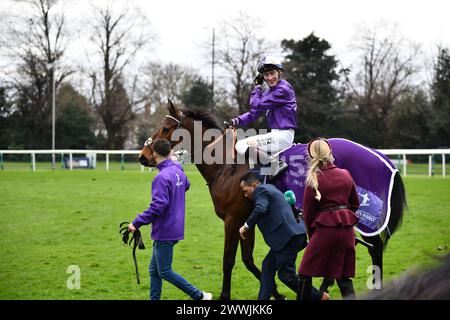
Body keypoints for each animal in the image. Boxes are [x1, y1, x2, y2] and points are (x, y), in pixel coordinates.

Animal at [139, 100, 406, 300]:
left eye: (165, 128)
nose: (143, 157)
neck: (227, 165)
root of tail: (381, 156)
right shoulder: (247, 219)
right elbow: (248, 260)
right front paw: (278, 293)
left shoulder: (232, 219)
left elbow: (228, 260)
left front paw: (226, 296)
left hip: (366, 219)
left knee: (375, 250)